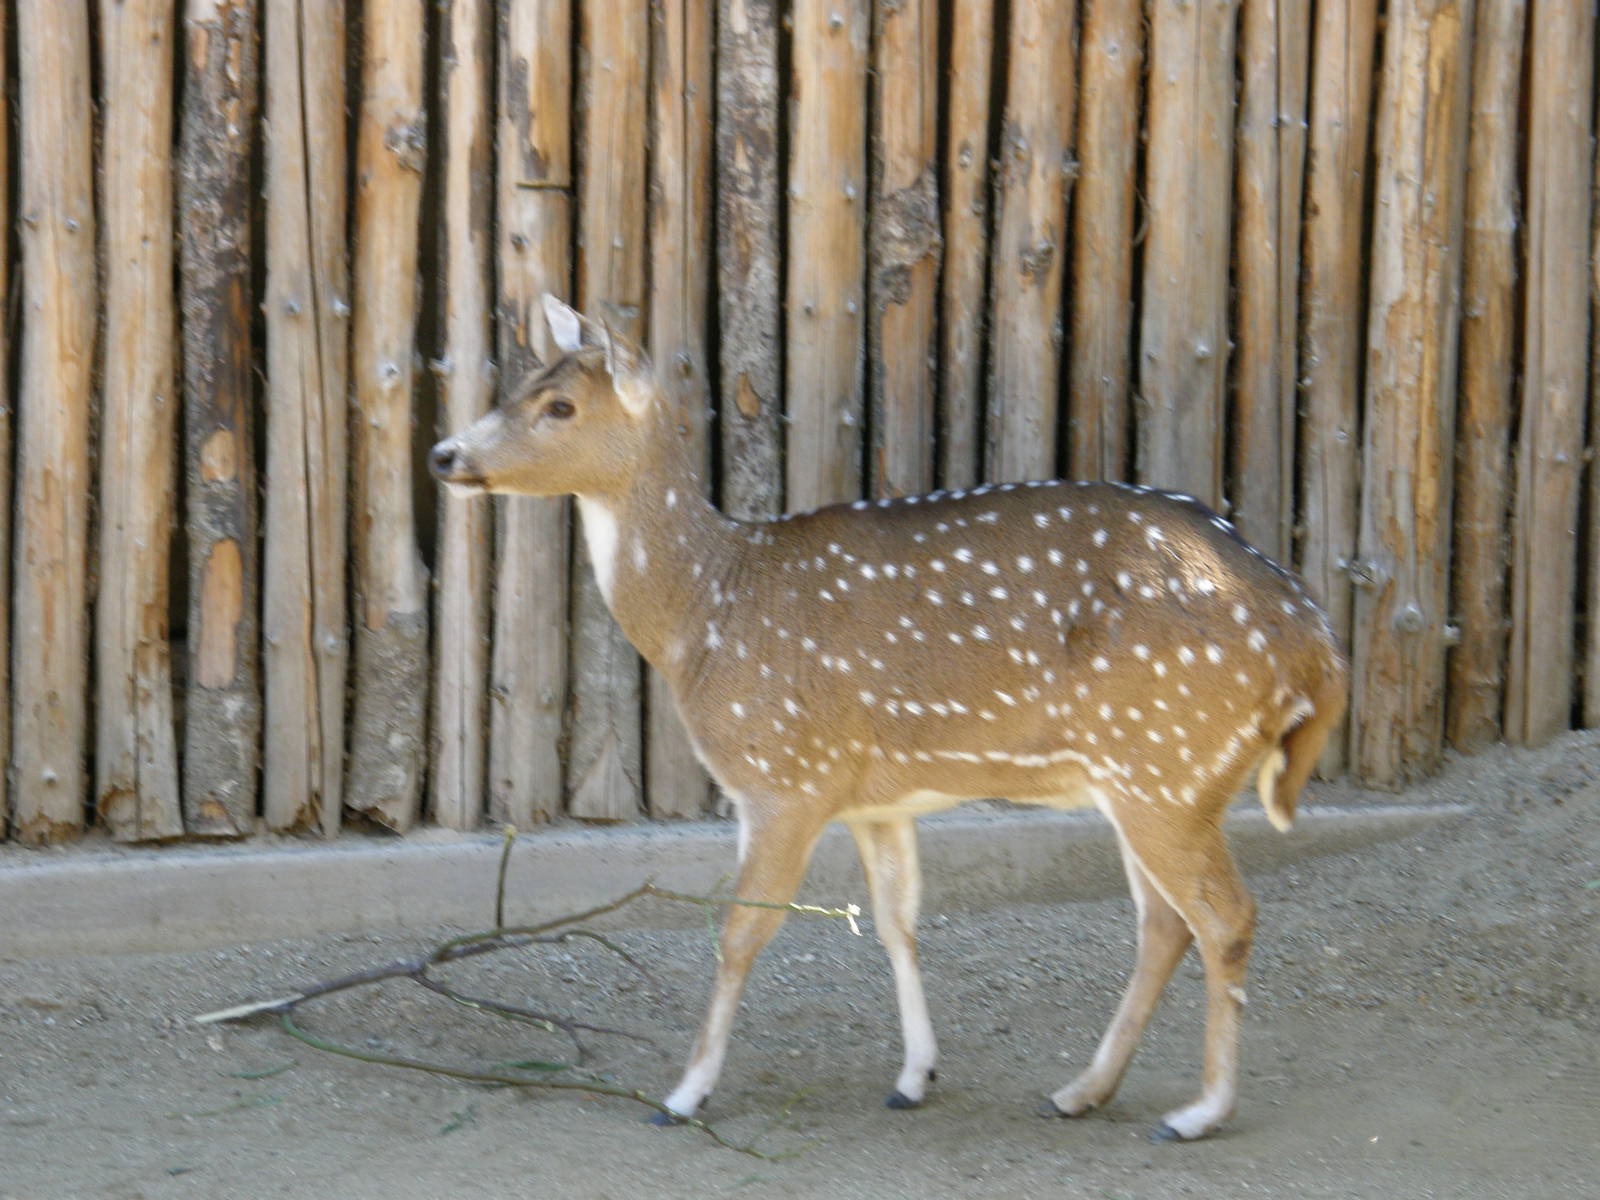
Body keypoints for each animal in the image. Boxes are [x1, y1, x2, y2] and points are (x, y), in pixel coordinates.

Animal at [429, 296, 1349, 1142]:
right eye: (520, 382)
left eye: (560, 406)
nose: (445, 454)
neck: (708, 617)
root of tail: (1316, 639)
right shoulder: (874, 796)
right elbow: (898, 921)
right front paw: (914, 1076)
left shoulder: (783, 778)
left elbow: (740, 931)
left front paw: (684, 1095)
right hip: (1149, 776)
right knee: (1164, 923)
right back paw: (1081, 1090)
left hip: (1168, 760)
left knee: (1223, 917)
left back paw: (1199, 1111)